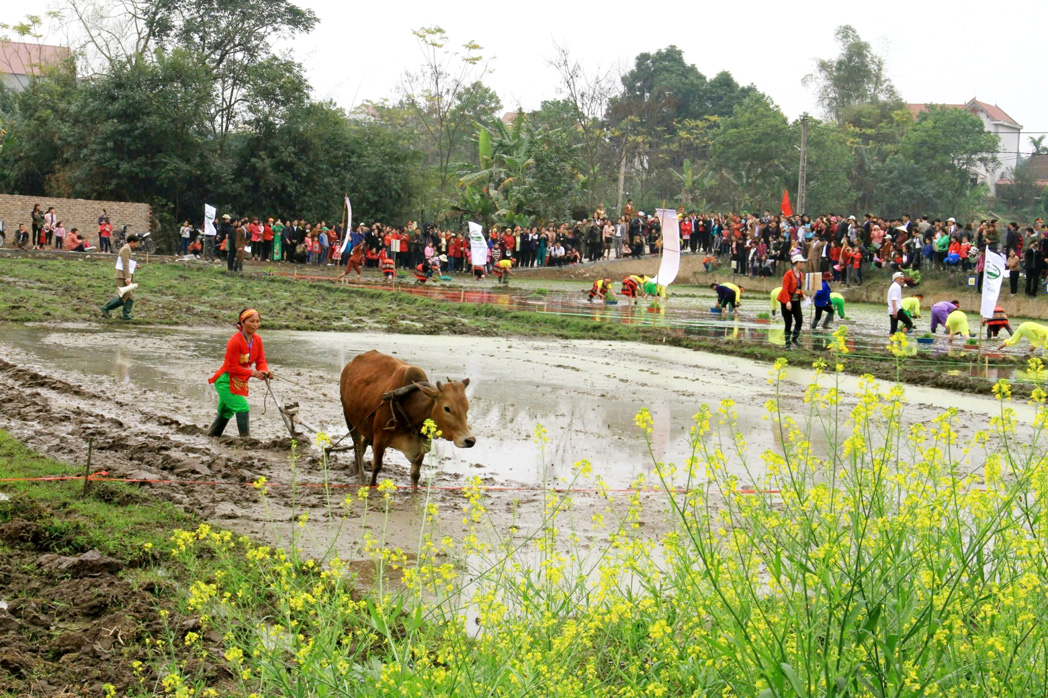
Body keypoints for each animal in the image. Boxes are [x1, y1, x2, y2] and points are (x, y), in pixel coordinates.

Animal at [339, 347, 475, 484]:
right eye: (447, 408)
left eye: (467, 407)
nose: (470, 440)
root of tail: (350, 365)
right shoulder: (379, 441)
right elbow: (376, 468)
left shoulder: (420, 448)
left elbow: (415, 475)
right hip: (350, 419)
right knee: (357, 446)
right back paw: (361, 475)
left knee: (362, 444)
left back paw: (355, 469)